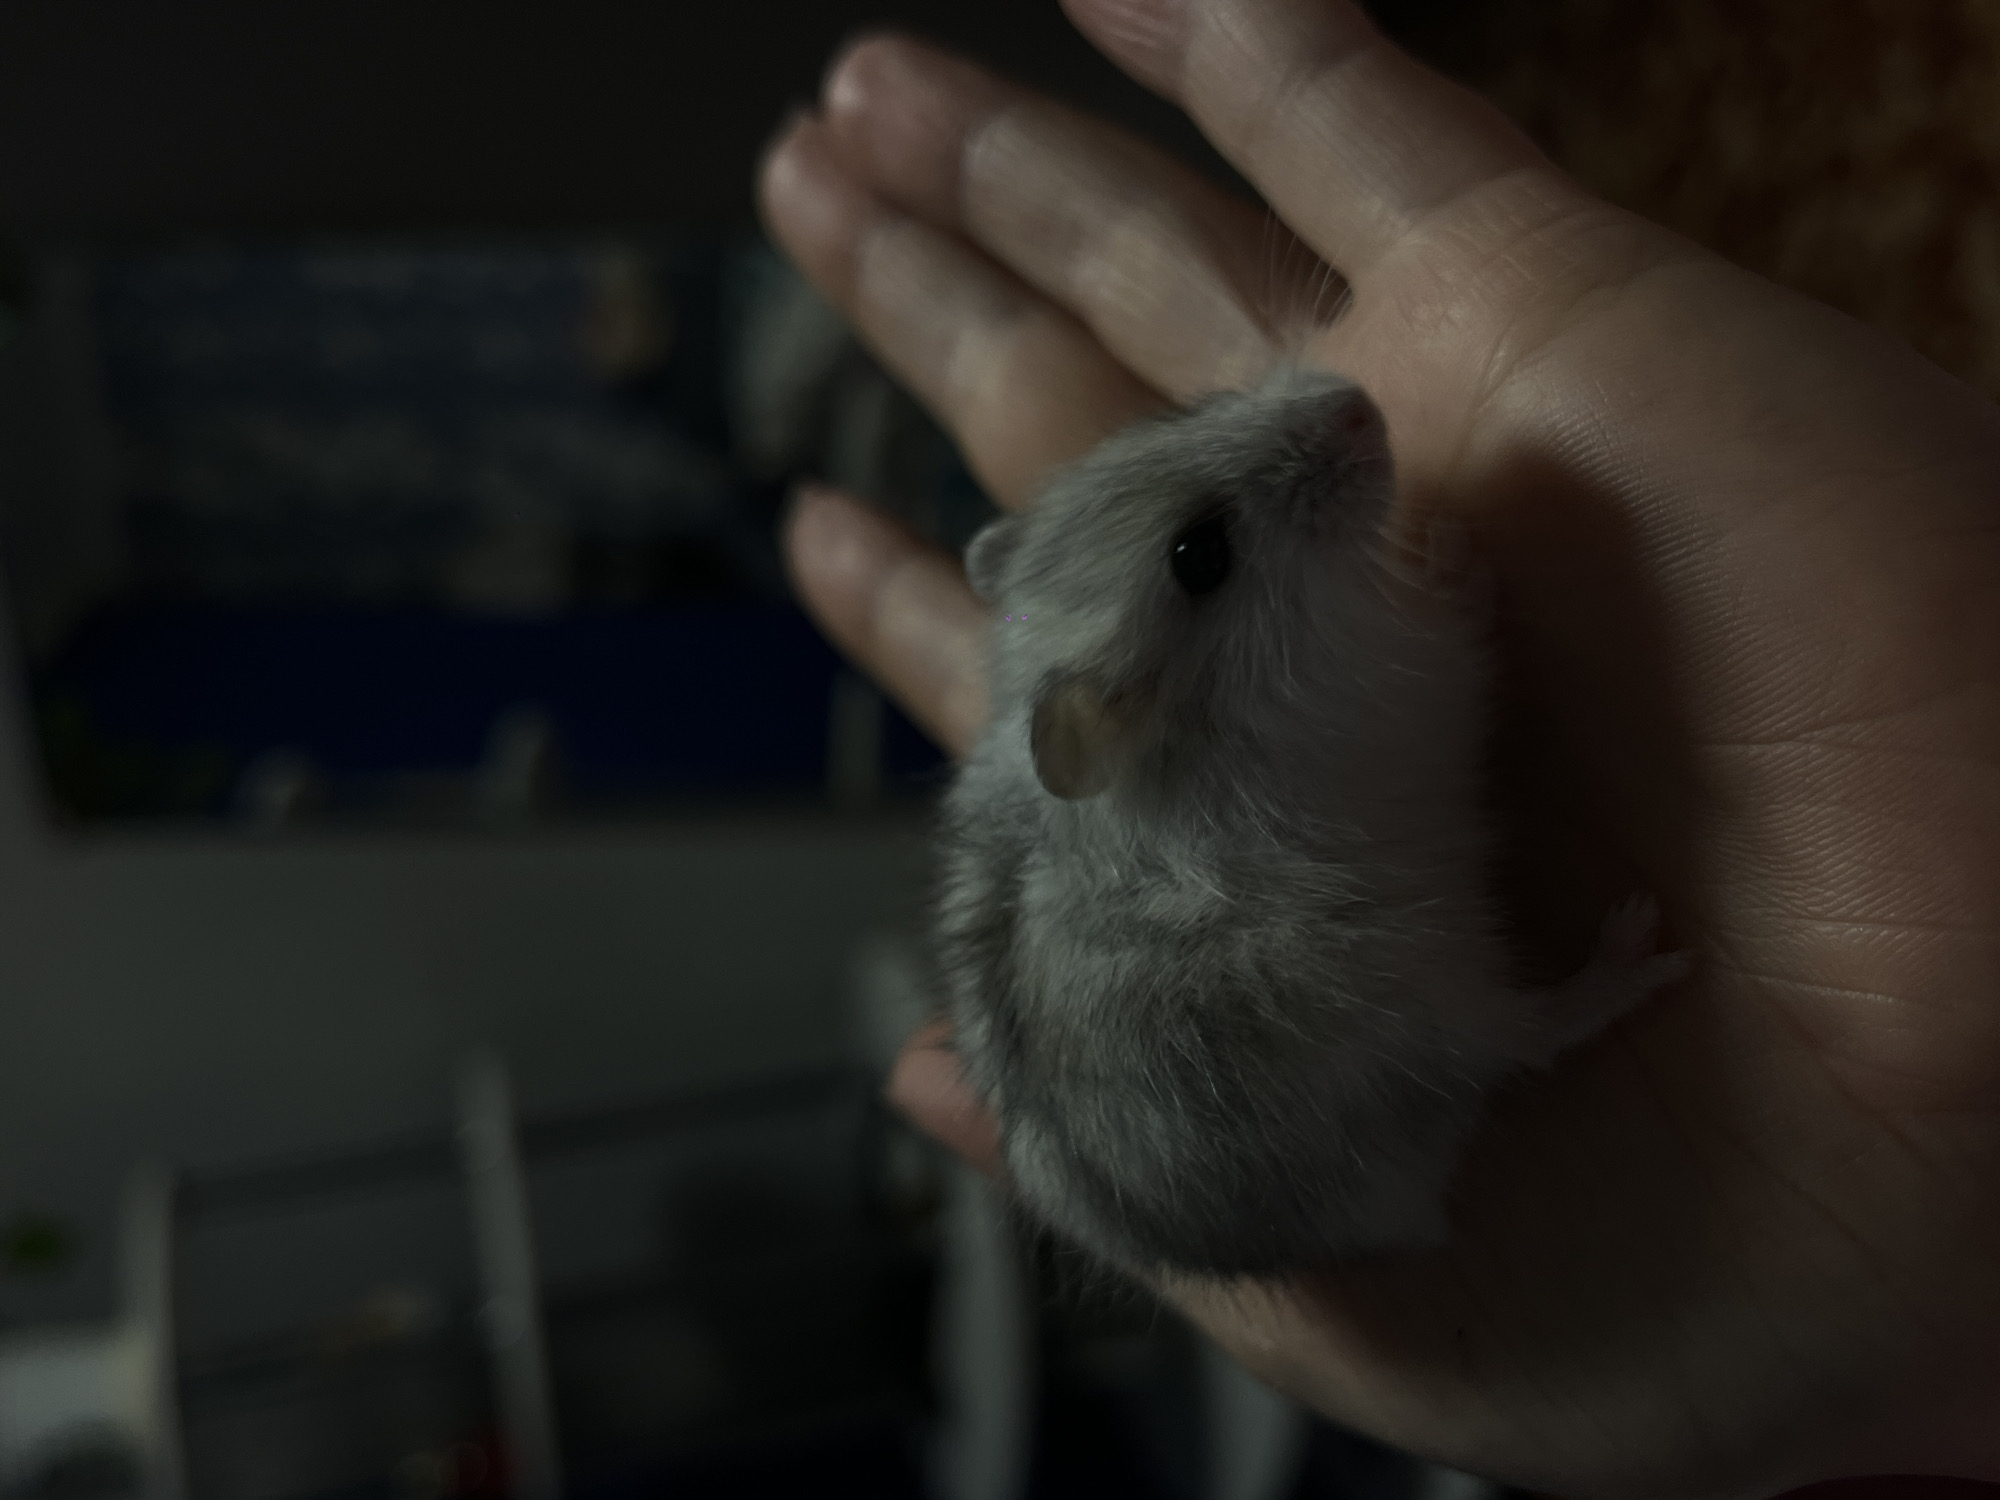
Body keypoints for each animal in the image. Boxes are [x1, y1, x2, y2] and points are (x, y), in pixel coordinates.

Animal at [933, 367, 1688, 1277]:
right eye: (1200, 556)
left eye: (1183, 414)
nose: (1356, 403)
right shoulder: (1424, 671)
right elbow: (1467, 619)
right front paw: (1452, 545)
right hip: (1412, 991)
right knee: (1530, 1036)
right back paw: (1638, 945)